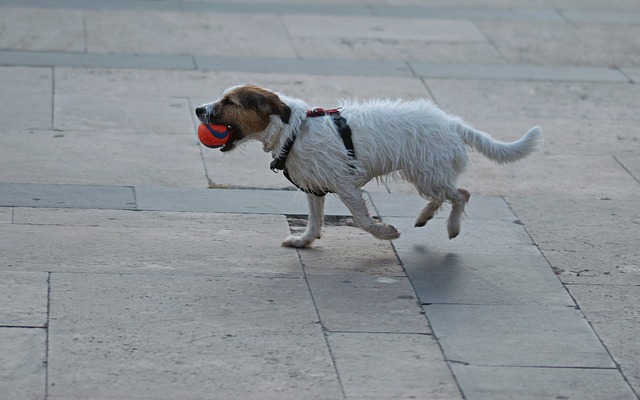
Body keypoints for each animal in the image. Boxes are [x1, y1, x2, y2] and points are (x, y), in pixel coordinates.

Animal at [196, 84, 544, 247]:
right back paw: (424, 216)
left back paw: (452, 226)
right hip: (427, 174)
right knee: (444, 196)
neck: (293, 130)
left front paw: (385, 232)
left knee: (461, 194)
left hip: (428, 173)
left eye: (230, 103)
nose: (199, 109)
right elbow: (314, 219)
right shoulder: (314, 188)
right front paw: (305, 240)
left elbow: (363, 221)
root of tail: (451, 122)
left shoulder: (346, 186)